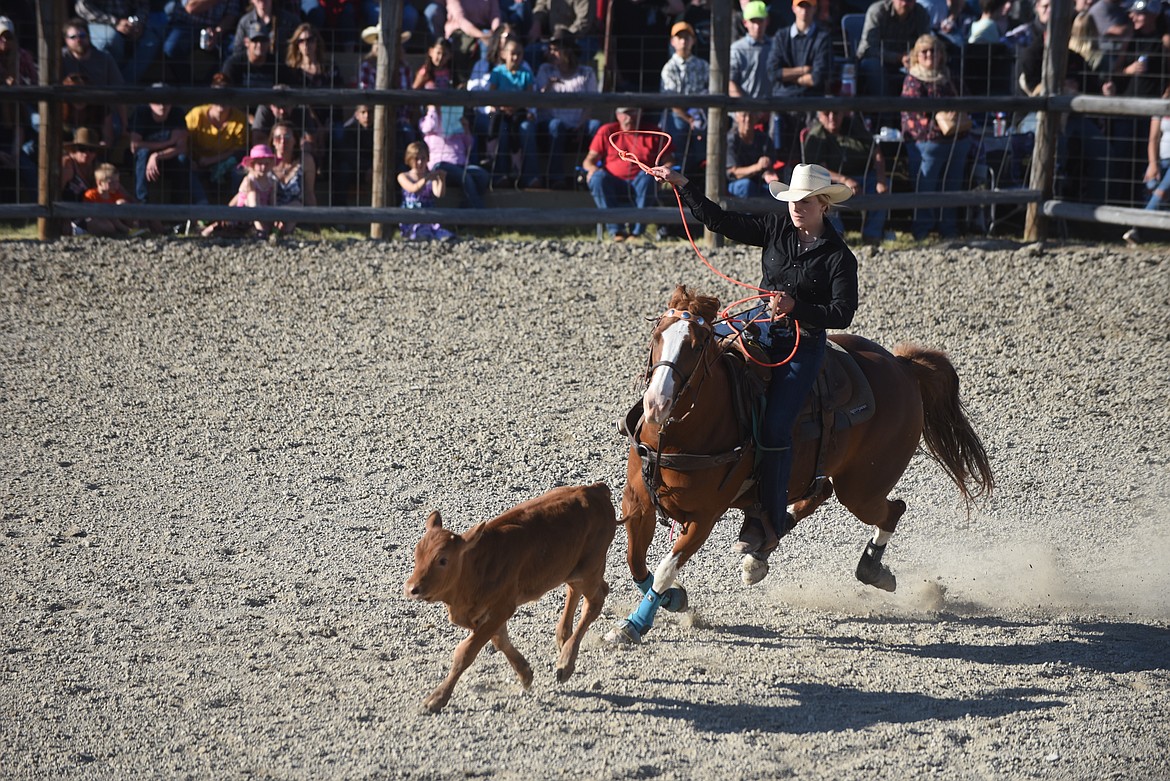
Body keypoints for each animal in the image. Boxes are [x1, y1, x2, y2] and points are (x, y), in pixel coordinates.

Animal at [404, 481, 617, 715]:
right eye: (416, 554)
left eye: (443, 560)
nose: (412, 588)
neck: (476, 567)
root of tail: (595, 489)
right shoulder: (485, 614)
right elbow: (500, 640)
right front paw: (525, 673)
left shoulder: (502, 608)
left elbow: (465, 652)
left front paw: (437, 698)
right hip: (572, 569)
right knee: (576, 591)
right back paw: (563, 637)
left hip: (590, 569)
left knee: (596, 600)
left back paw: (566, 663)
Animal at [608, 285, 992, 640]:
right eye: (657, 335)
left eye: (698, 344)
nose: (656, 404)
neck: (677, 437)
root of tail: (903, 367)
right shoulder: (636, 502)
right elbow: (635, 562)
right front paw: (672, 599)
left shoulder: (703, 518)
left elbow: (664, 568)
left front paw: (634, 625)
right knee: (815, 495)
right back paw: (759, 550)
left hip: (863, 489)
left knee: (892, 509)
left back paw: (870, 569)